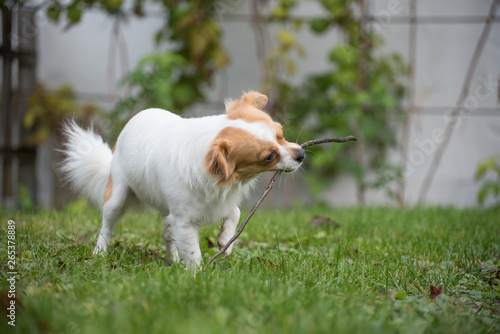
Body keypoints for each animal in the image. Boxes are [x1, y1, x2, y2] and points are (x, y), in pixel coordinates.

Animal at [62, 90, 304, 268]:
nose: (301, 153)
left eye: (281, 134)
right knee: (107, 227)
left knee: (167, 235)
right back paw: (99, 252)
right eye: (270, 156)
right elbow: (193, 252)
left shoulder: (218, 203)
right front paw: (197, 277)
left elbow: (234, 212)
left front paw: (225, 241)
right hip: (117, 196)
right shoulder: (184, 222)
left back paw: (175, 261)